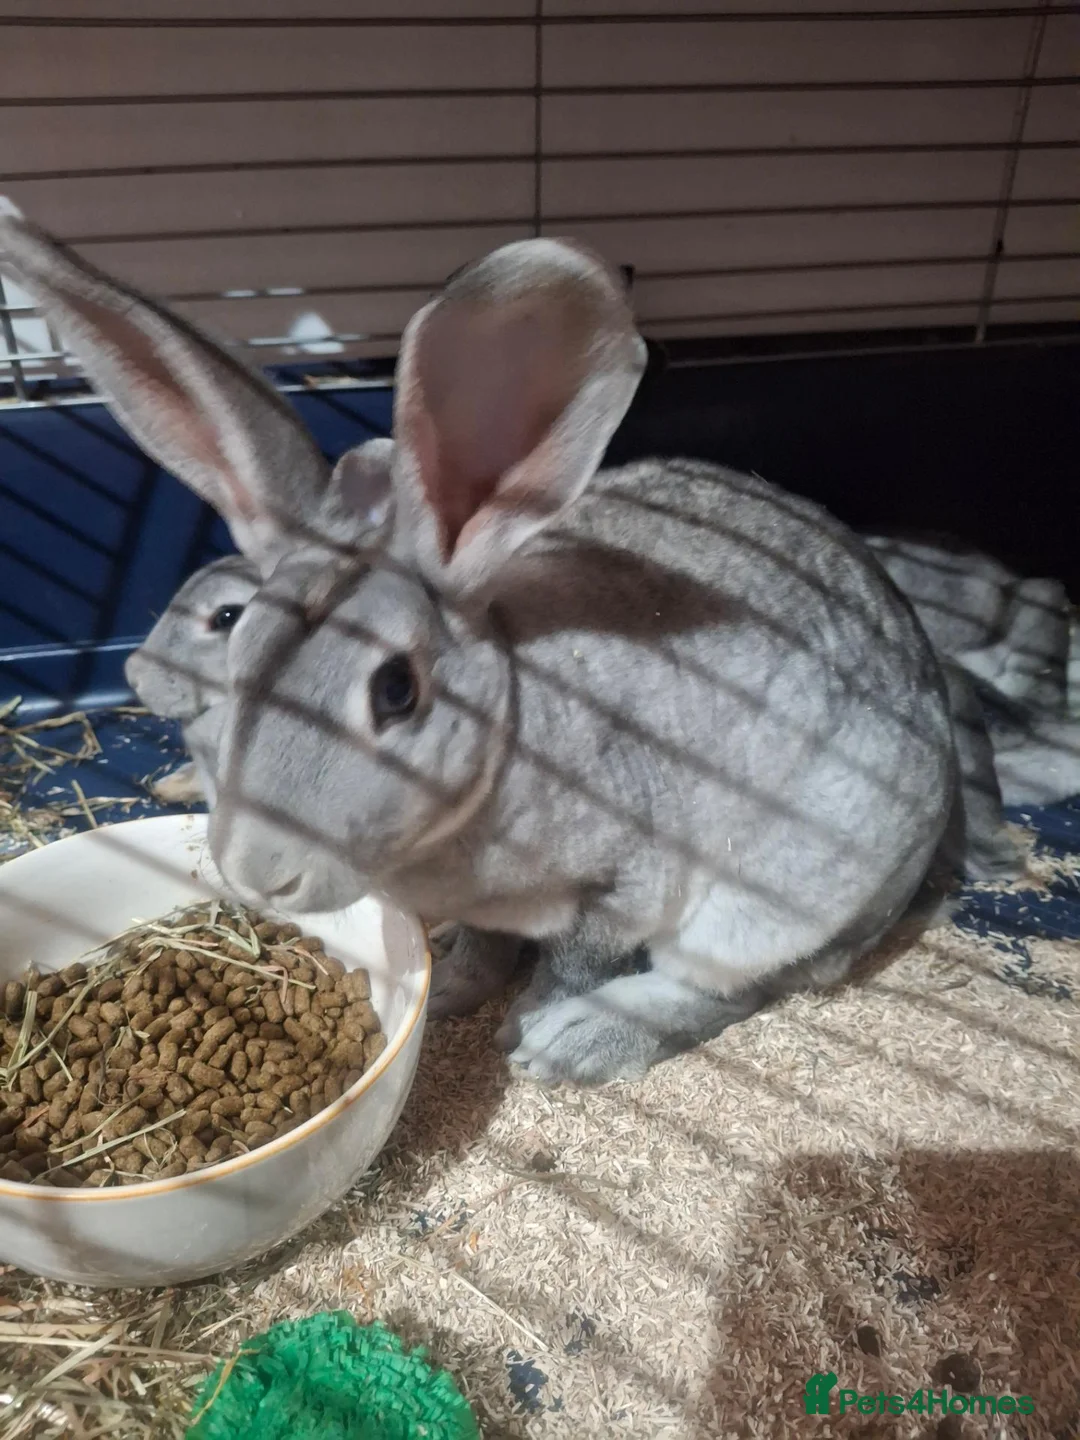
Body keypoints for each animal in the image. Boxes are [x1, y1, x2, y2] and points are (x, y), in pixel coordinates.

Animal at [2, 201, 1020, 1084]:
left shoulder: (621, 883)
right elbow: (492, 946)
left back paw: (580, 1045)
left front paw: (523, 1030)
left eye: (397, 691)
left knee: (732, 987)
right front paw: (454, 987)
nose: (259, 871)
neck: (504, 736)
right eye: (239, 645)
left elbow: (577, 958)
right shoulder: (498, 908)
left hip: (777, 901)